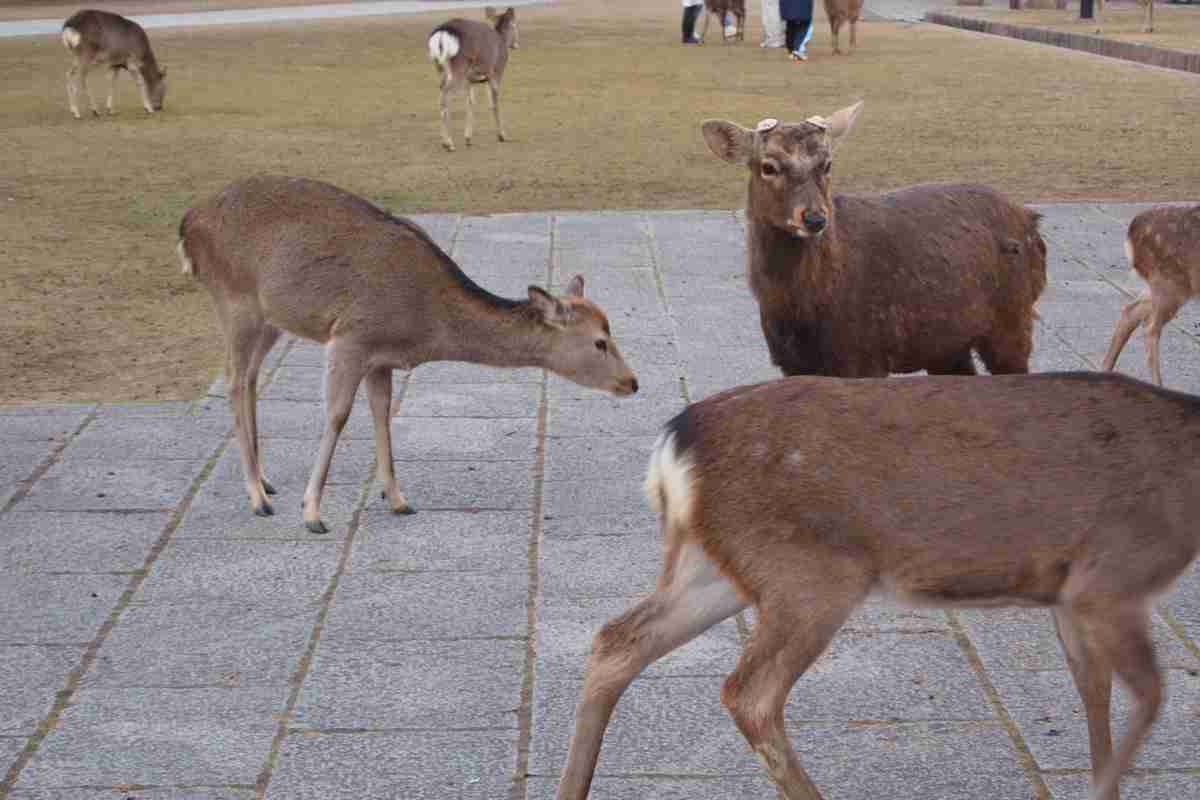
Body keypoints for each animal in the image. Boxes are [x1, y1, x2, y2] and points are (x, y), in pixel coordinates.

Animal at [178, 175, 638, 534]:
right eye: (600, 341)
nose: (632, 382)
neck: (426, 323)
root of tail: (187, 224)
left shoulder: (380, 359)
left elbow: (383, 412)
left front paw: (398, 498)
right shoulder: (351, 337)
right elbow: (337, 415)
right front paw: (312, 513)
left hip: (271, 317)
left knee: (250, 378)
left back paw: (265, 479)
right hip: (235, 302)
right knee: (235, 380)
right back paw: (258, 497)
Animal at [427, 6, 519, 152]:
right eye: (515, 25)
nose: (516, 44)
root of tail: (441, 34)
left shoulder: (470, 80)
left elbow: (471, 102)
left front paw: (468, 138)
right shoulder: (496, 72)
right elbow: (494, 104)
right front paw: (502, 135)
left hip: (440, 67)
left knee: (441, 93)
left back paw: (445, 142)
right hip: (459, 67)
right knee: (445, 96)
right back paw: (449, 143)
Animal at [558, 370, 1200, 800]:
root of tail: (672, 448)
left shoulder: (1067, 595)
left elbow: (1094, 693)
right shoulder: (1112, 578)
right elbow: (1150, 695)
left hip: (713, 566)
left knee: (617, 640)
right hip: (811, 574)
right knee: (750, 692)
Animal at [702, 101, 1047, 378]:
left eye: (827, 164)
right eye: (768, 166)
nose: (815, 218)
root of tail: (1031, 221)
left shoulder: (865, 355)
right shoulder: (792, 364)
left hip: (1013, 318)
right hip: (948, 342)